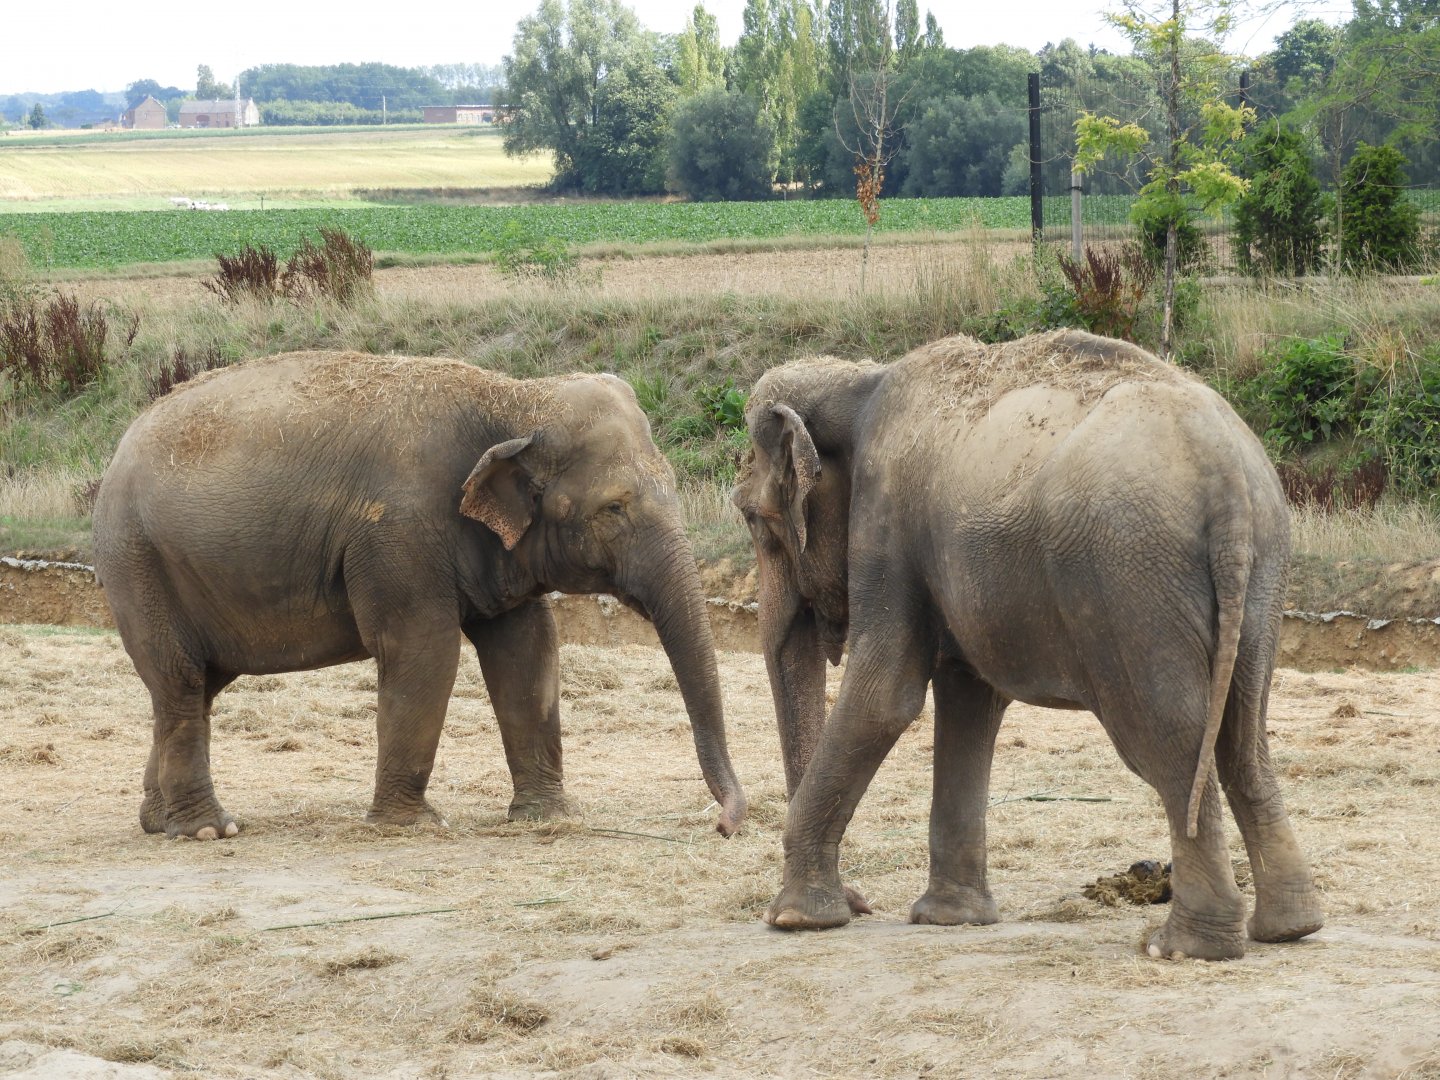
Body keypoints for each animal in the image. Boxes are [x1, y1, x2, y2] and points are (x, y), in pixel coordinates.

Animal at [93, 350, 747, 841]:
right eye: (613, 508)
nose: (723, 824)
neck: (513, 399)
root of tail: (117, 452)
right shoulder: (397, 534)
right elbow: (424, 651)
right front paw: (413, 825)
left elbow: (529, 649)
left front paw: (548, 818)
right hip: (139, 563)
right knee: (180, 681)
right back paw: (208, 830)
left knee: (196, 687)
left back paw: (159, 822)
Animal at [732, 329, 1322, 961]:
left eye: (753, 519)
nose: (861, 900)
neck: (857, 379)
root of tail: (1227, 480)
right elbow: (970, 700)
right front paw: (953, 919)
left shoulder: (887, 524)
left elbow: (885, 697)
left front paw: (793, 920)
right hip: (1262, 574)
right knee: (1243, 731)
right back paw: (1289, 928)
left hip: (1133, 582)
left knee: (1170, 739)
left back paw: (1183, 947)